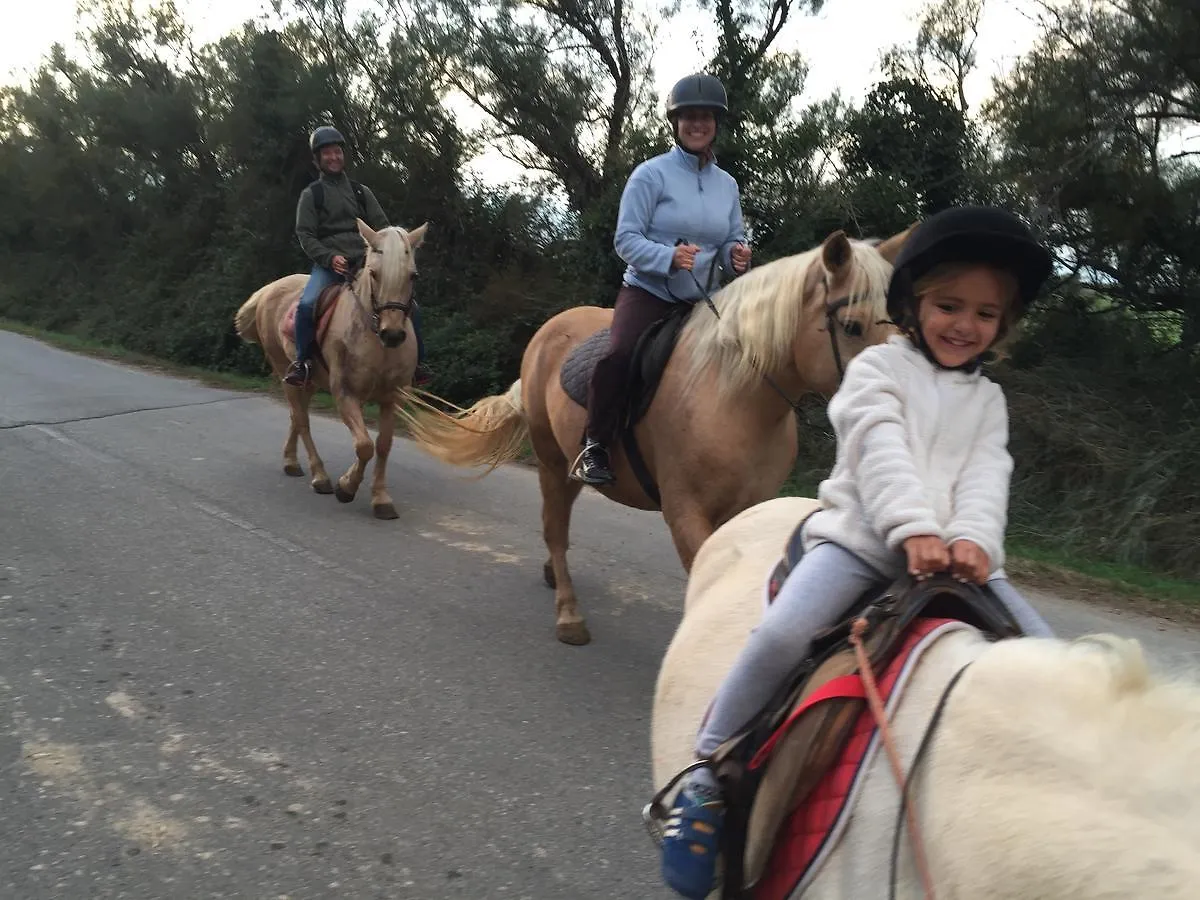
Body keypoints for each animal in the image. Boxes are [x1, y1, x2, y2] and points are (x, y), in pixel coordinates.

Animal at [232, 217, 427, 520]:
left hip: (310, 381)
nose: (393, 334)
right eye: (373, 273)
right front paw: (346, 487)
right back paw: (320, 476)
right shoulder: (344, 393)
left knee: (296, 415)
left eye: (413, 276)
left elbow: (383, 445)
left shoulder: (392, 398)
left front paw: (381, 499)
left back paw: (291, 462)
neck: (375, 338)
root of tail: (268, 289)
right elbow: (364, 446)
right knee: (302, 420)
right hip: (285, 371)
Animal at [400, 229, 907, 643]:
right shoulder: (686, 514)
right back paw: (568, 613)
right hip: (549, 461)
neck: (734, 395)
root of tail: (547, 332)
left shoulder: (746, 511)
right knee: (554, 528)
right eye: (852, 326)